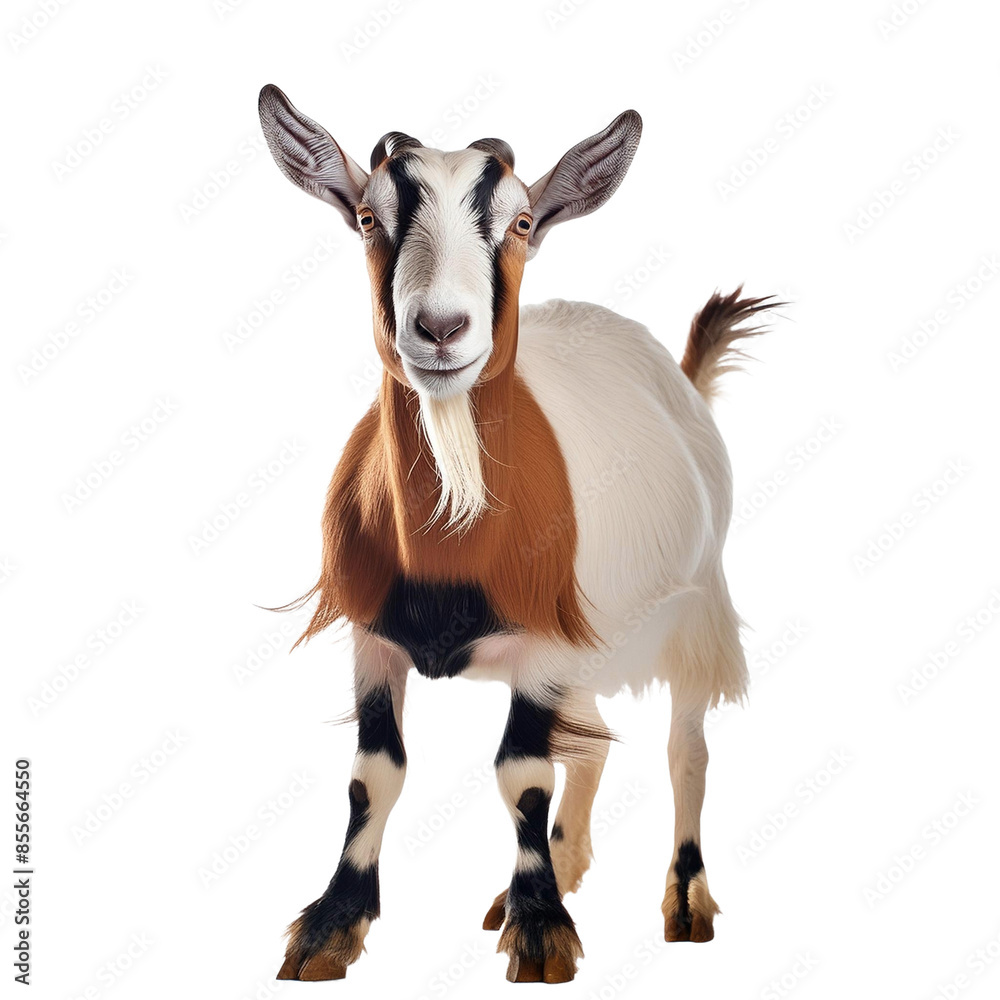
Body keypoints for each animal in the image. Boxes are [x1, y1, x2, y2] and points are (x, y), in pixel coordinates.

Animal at [258, 83, 778, 984]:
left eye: (525, 221)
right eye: (367, 215)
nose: (439, 328)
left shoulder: (547, 644)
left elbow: (523, 774)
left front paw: (541, 933)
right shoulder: (372, 636)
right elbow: (373, 775)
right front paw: (331, 926)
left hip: (695, 606)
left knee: (686, 749)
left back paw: (683, 899)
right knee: (594, 746)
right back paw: (558, 869)